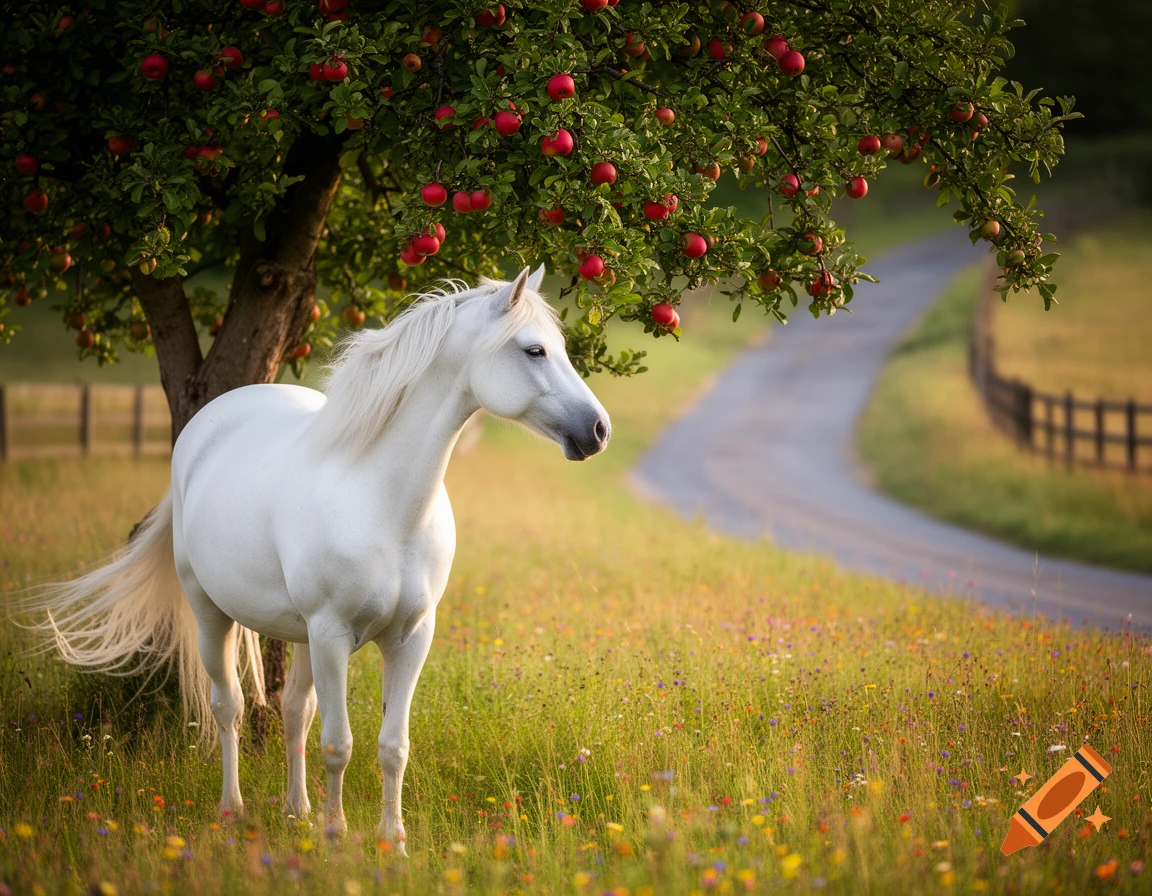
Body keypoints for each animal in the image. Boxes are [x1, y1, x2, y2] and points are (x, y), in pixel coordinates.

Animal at [22, 264, 610, 851]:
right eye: (534, 350)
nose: (598, 430)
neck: (384, 503)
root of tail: (203, 427)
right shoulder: (332, 634)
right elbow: (338, 743)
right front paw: (335, 836)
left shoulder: (412, 637)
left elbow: (392, 745)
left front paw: (391, 843)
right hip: (213, 614)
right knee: (229, 707)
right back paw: (234, 810)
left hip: (299, 634)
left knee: (292, 712)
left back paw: (295, 811)